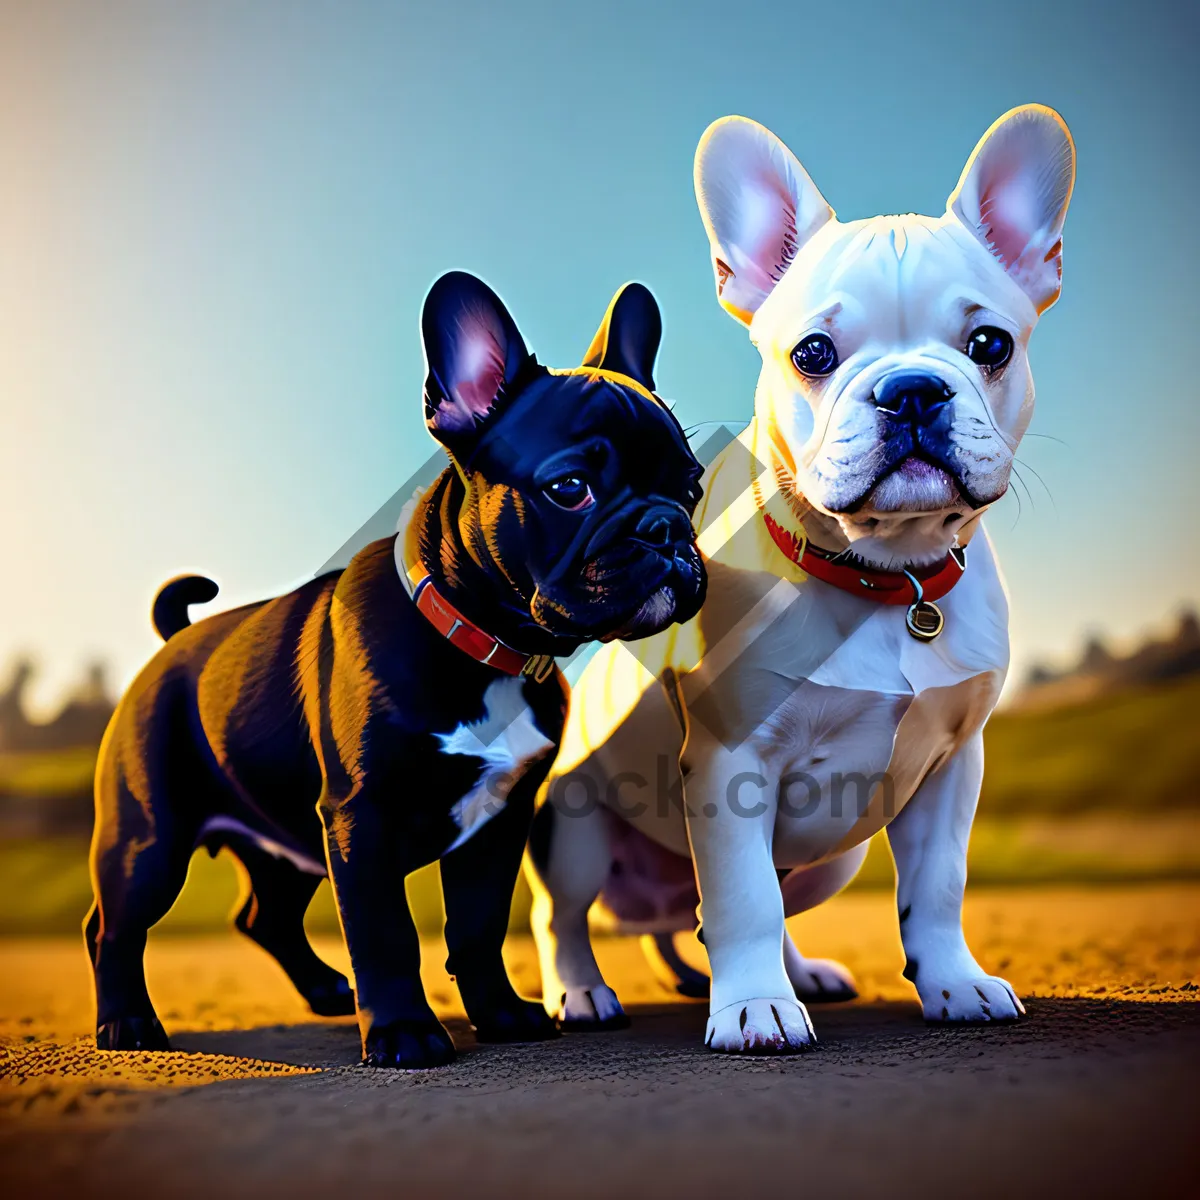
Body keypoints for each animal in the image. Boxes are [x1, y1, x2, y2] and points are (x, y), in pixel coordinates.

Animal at [88, 274, 705, 1070]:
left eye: (690, 488)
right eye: (570, 488)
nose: (667, 528)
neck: (488, 647)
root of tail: (175, 643)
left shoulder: (498, 822)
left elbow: (477, 924)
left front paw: (502, 1014)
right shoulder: (364, 817)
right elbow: (385, 930)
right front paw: (405, 1032)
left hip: (285, 842)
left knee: (263, 916)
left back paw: (326, 991)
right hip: (149, 841)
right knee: (114, 925)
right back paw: (127, 1023)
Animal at [528, 108, 1080, 1056]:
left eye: (990, 345)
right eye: (813, 352)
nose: (912, 389)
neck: (891, 579)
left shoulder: (952, 766)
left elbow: (936, 888)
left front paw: (953, 982)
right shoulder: (729, 761)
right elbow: (744, 896)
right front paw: (752, 1007)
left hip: (836, 857)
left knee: (754, 900)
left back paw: (799, 972)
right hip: (575, 831)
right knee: (566, 915)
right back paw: (584, 991)